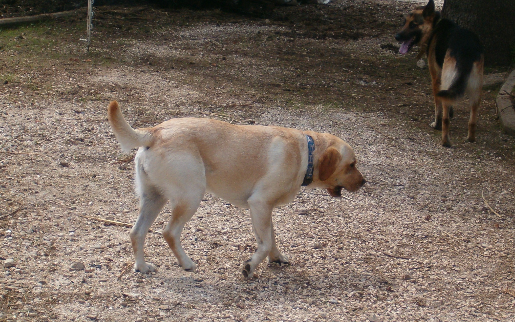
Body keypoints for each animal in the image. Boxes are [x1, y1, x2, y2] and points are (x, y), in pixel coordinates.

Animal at [108, 100, 366, 276]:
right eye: (352, 165)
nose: (364, 182)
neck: (306, 153)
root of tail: (155, 132)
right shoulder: (259, 204)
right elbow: (264, 243)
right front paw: (250, 266)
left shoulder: (265, 210)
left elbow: (271, 238)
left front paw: (277, 258)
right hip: (190, 197)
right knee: (169, 232)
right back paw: (187, 263)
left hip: (154, 199)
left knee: (137, 232)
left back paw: (142, 266)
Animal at [396, 0, 484, 147]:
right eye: (405, 22)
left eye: (413, 24)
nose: (396, 36)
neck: (434, 27)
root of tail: (466, 48)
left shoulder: (436, 78)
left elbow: (438, 107)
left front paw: (436, 123)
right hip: (476, 89)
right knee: (472, 120)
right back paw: (470, 138)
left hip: (446, 81)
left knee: (445, 120)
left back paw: (445, 140)